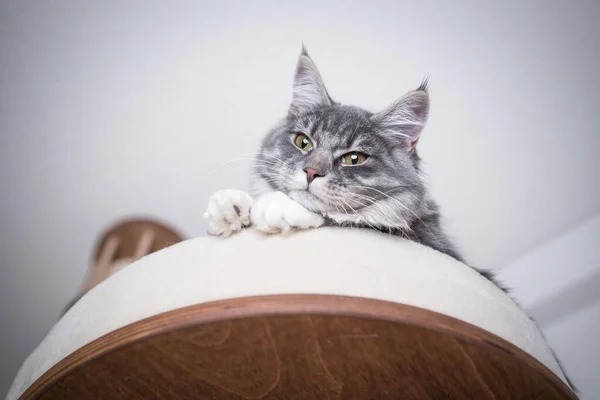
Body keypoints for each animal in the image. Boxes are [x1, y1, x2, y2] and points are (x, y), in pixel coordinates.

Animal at [202, 47, 496, 288]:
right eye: (303, 142)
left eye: (354, 159)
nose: (311, 172)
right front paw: (230, 207)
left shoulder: (432, 245)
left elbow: (346, 218)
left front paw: (276, 206)